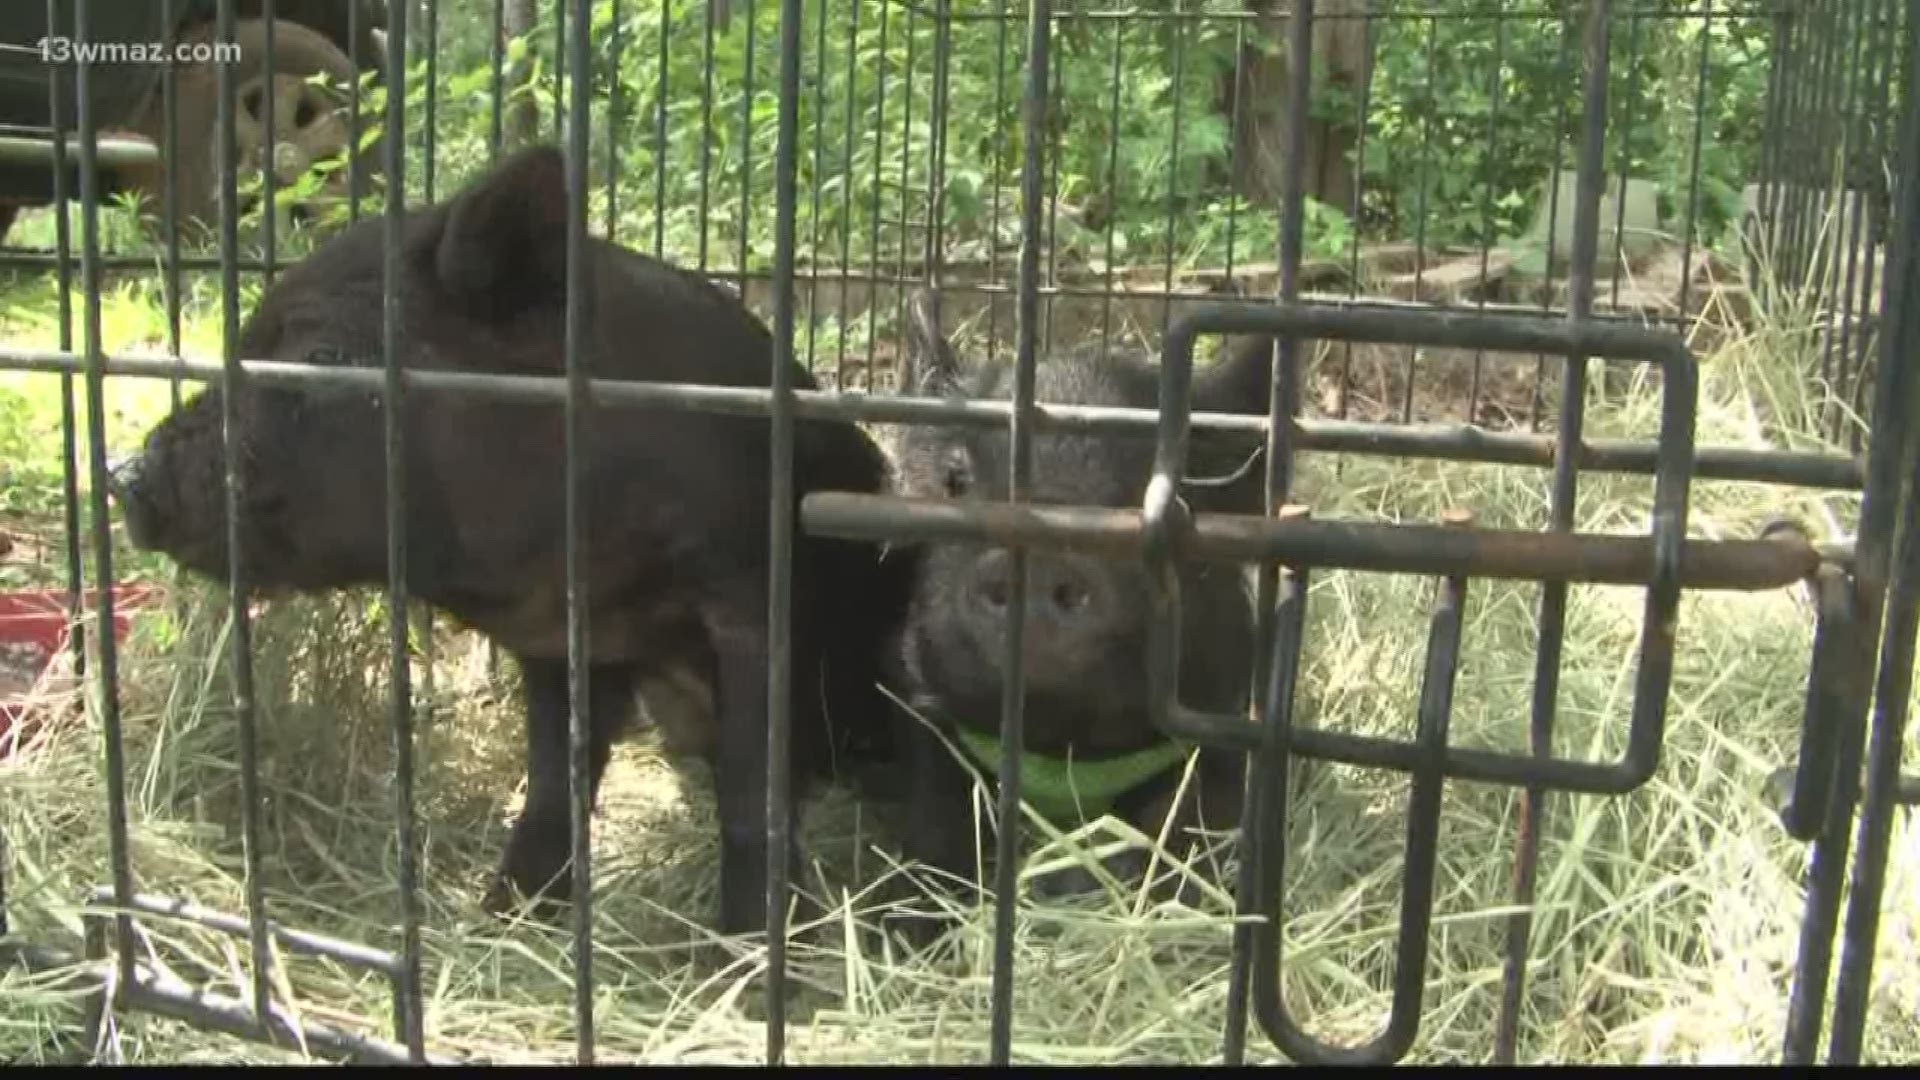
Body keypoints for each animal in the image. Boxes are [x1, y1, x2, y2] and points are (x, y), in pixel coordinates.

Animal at [107, 143, 913, 933]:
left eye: (324, 354)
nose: (122, 475)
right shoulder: (561, 648)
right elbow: (553, 785)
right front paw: (500, 919)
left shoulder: (752, 595)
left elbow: (752, 797)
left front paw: (745, 954)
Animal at [879, 290, 1274, 910]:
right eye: (955, 479)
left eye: (1153, 487)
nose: (1041, 554)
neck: (1061, 738)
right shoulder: (920, 703)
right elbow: (937, 822)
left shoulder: (1221, 720)